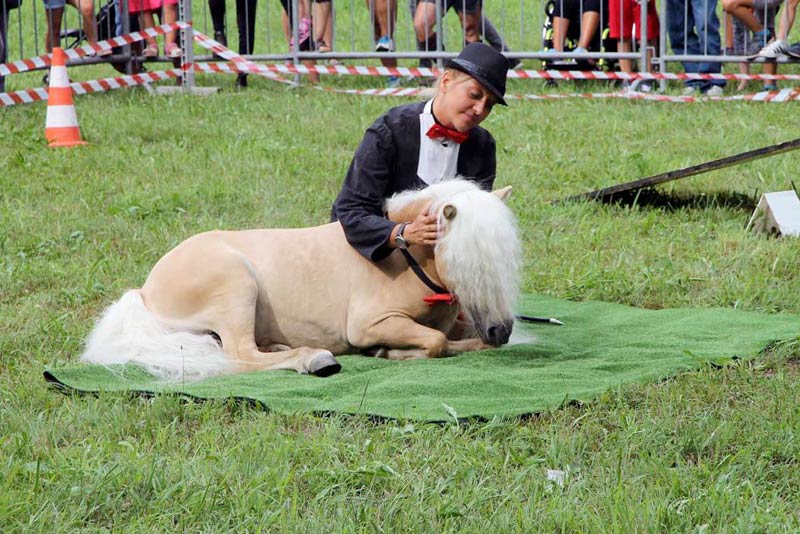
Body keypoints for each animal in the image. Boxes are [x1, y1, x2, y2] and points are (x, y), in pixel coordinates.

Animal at [80, 179, 521, 381]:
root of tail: (145, 290)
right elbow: (436, 343)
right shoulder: (368, 324)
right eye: (469, 263)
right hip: (238, 285)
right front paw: (386, 353)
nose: (502, 329)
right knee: (240, 355)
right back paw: (314, 359)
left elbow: (458, 341)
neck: (403, 258)